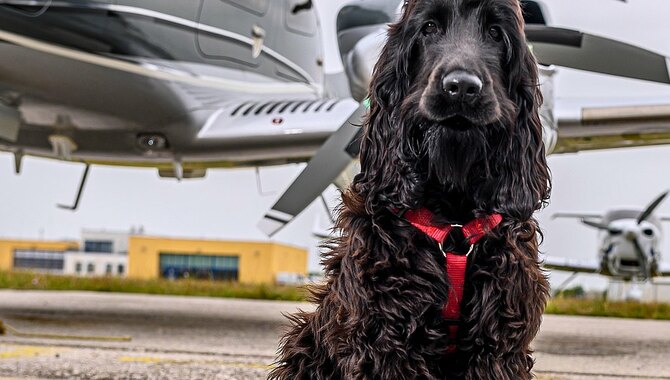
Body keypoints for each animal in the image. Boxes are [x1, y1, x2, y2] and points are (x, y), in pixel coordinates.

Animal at [270, 1, 552, 378]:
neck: (453, 219)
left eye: (496, 32)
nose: (461, 87)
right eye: (429, 27)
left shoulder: (498, 341)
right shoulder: (384, 335)